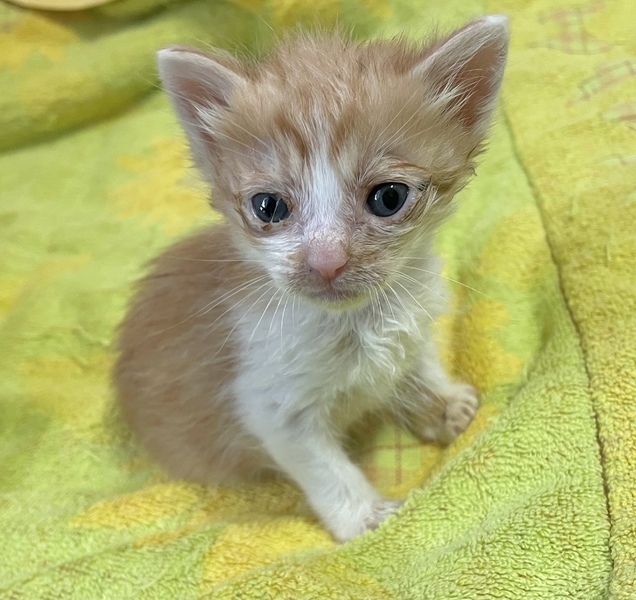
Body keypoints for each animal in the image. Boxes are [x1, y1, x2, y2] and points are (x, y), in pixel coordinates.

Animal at [115, 16, 509, 542]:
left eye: (388, 197)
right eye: (268, 206)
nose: (327, 261)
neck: (360, 321)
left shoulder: (411, 316)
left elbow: (416, 357)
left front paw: (442, 403)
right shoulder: (273, 405)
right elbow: (325, 469)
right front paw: (365, 517)